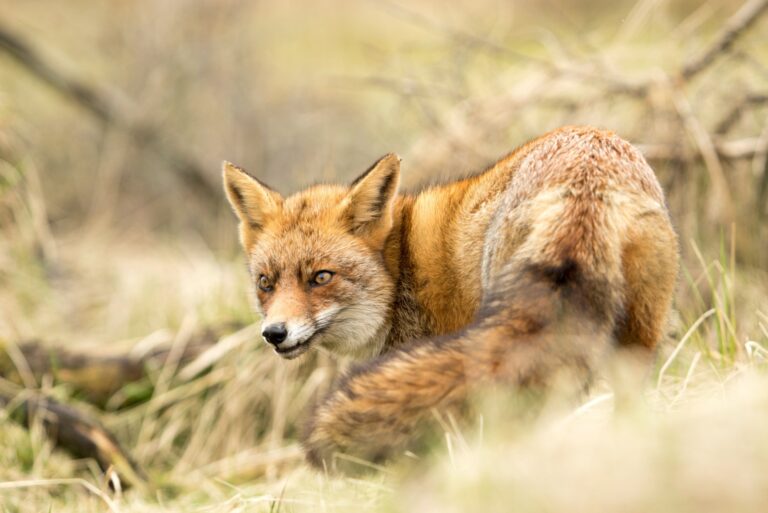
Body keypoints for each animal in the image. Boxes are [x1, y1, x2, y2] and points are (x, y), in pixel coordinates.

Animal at [222, 125, 679, 470]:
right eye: (266, 282)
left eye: (320, 277)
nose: (274, 333)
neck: (398, 267)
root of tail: (589, 171)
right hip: (635, 346)